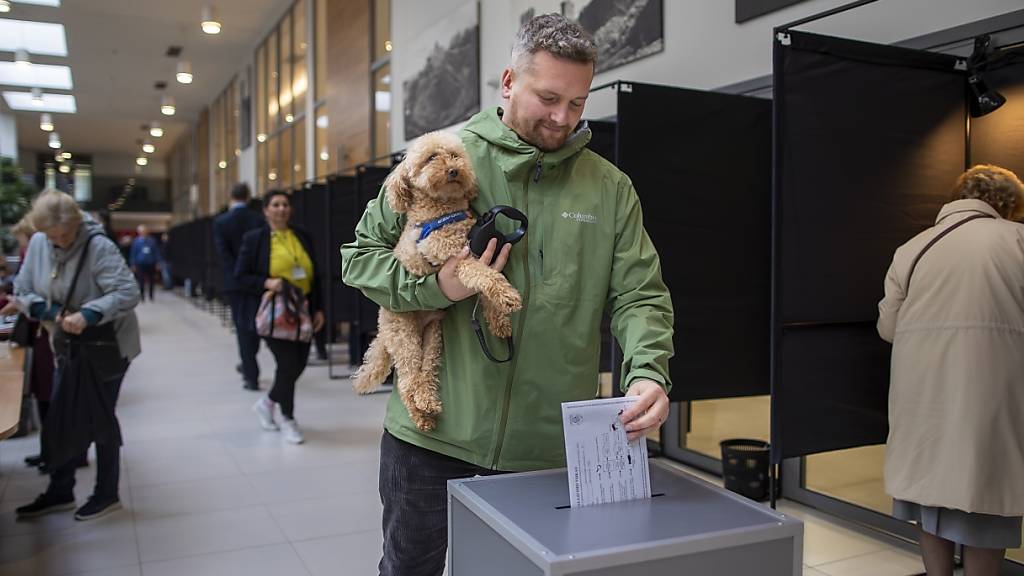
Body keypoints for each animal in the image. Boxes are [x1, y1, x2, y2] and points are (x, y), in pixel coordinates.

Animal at [356, 129, 524, 426]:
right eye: (431, 157)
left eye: (455, 155)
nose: (453, 170)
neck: (444, 212)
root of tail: (382, 330)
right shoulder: (456, 259)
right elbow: (485, 276)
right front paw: (508, 296)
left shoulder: (477, 252)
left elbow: (486, 286)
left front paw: (500, 321)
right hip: (405, 334)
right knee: (407, 381)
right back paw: (422, 415)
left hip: (433, 335)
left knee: (426, 372)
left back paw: (428, 404)